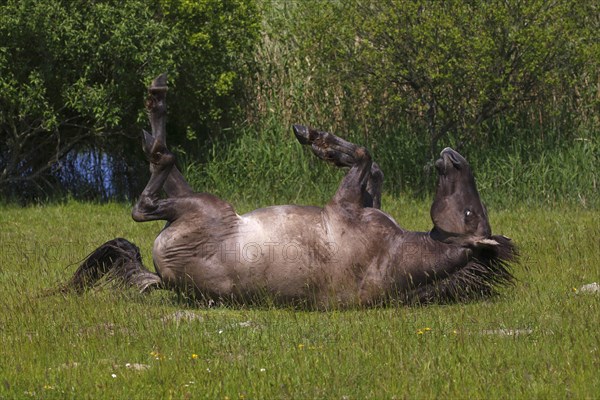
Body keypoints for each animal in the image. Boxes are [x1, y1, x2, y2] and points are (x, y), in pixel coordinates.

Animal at [64, 73, 516, 308]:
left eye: (471, 216)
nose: (453, 157)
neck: (395, 253)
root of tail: (165, 279)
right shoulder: (362, 201)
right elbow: (375, 168)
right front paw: (316, 138)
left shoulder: (344, 204)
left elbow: (363, 155)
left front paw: (319, 141)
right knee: (163, 172)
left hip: (205, 207)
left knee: (151, 189)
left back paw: (156, 107)